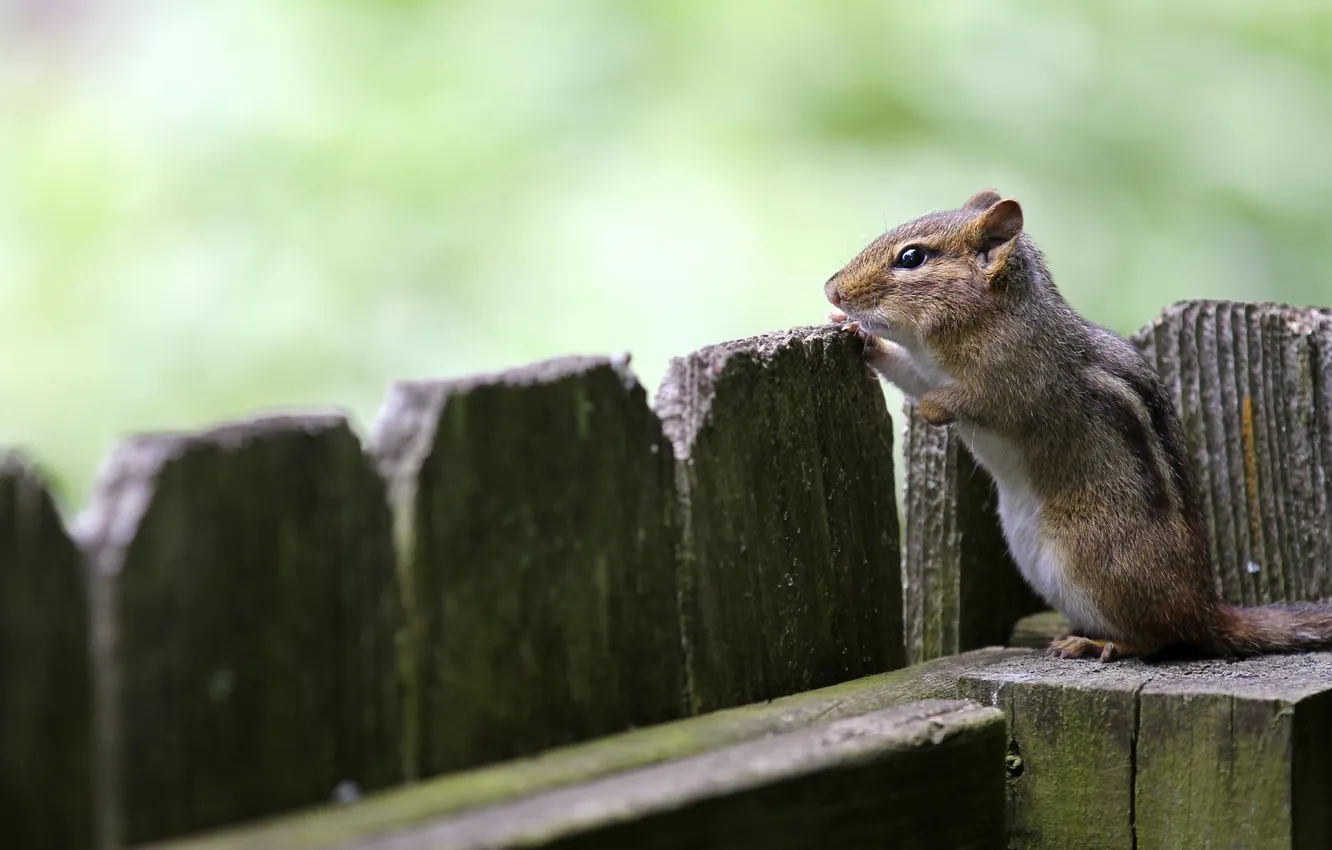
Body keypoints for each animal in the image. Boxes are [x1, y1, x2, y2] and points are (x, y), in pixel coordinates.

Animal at [824, 189, 1332, 661]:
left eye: (912, 257)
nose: (832, 291)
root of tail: (1204, 606)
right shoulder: (926, 369)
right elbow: (908, 375)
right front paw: (859, 336)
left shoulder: (1020, 384)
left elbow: (977, 402)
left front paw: (932, 409)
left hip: (1092, 558)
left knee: (1161, 638)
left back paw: (1100, 644)